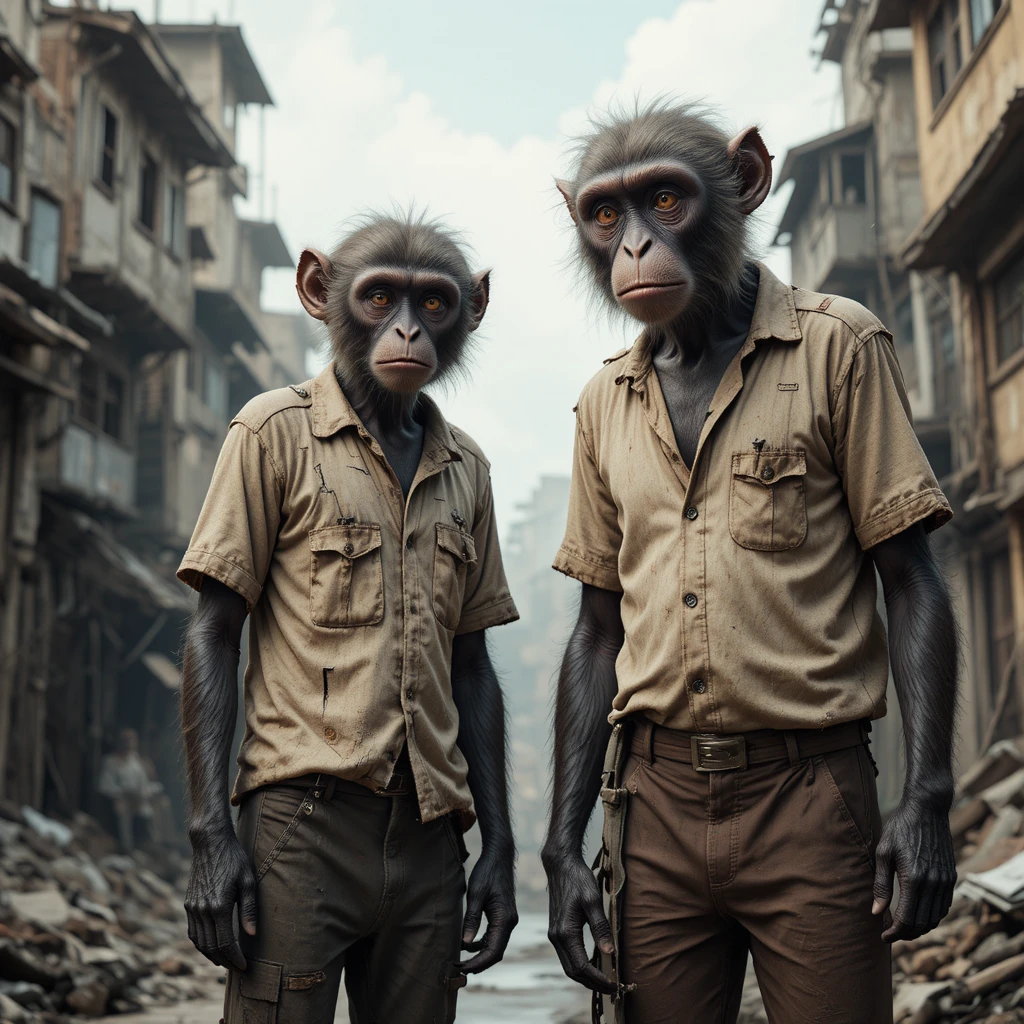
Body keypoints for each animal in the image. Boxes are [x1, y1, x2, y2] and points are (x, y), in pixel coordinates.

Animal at [178, 213, 520, 1024]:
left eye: (433, 301)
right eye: (379, 296)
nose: (407, 330)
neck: (380, 419)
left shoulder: (480, 478)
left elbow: (469, 661)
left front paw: (497, 882)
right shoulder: (248, 439)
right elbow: (217, 624)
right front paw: (214, 873)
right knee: (286, 974)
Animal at [542, 102, 958, 1023]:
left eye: (665, 197)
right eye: (604, 211)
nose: (633, 246)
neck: (702, 341)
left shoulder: (866, 349)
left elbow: (908, 573)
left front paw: (919, 838)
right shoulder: (589, 413)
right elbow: (599, 624)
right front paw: (564, 884)